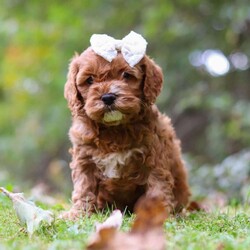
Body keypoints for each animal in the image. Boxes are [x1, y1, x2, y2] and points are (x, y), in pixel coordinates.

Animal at [63, 31, 190, 219]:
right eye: (90, 80)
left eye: (126, 75)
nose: (108, 97)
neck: (115, 129)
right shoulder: (84, 158)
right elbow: (84, 188)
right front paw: (78, 214)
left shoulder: (154, 156)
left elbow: (157, 186)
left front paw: (156, 215)